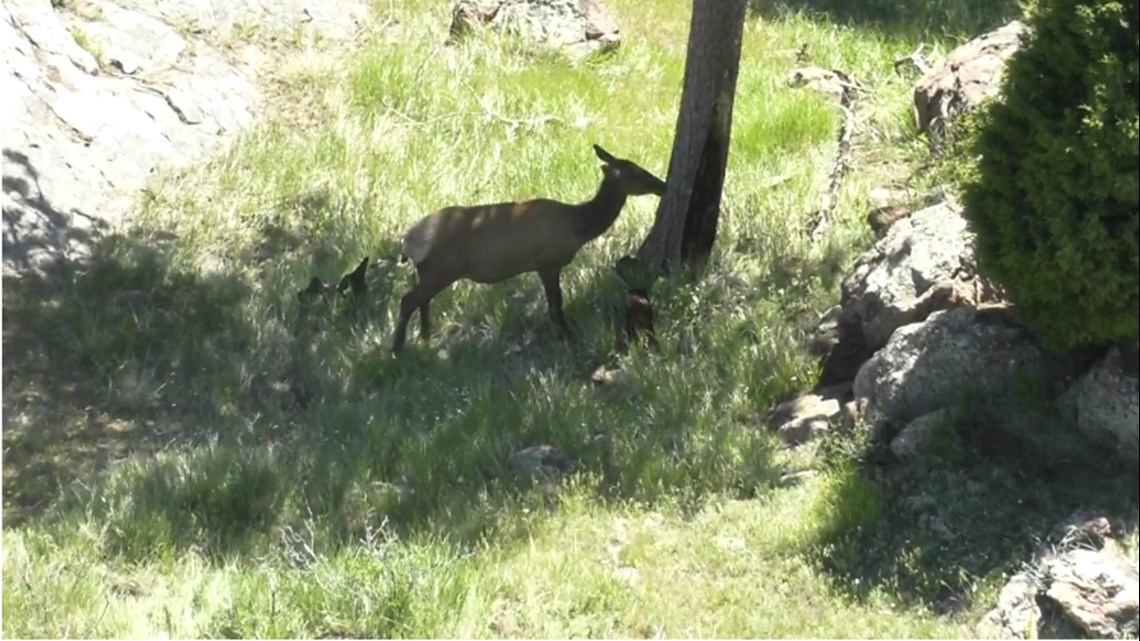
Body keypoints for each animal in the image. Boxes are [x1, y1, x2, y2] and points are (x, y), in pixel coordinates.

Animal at [389, 143, 667, 354]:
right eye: (637, 173)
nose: (663, 185)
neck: (578, 227)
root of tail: (408, 240)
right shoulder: (548, 262)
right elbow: (556, 303)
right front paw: (567, 335)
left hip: (429, 270)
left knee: (422, 300)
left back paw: (425, 336)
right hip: (441, 268)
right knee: (408, 300)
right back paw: (397, 348)